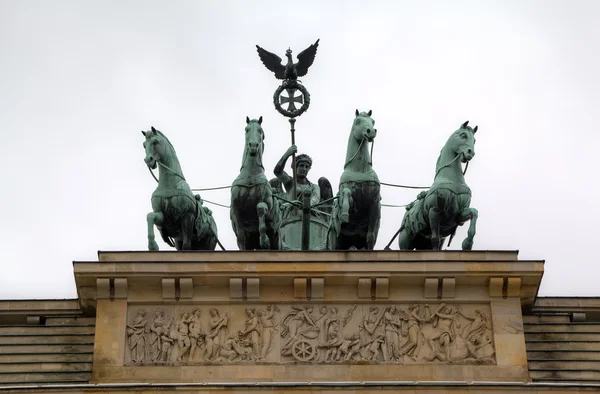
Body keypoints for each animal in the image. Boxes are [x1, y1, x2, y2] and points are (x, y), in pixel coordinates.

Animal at [230, 115, 282, 249]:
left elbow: (261, 208)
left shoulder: (266, 202)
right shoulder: (236, 211)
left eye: (260, 130)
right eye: (246, 129)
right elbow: (241, 236)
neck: (250, 176)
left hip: (276, 237)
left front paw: (264, 240)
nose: (253, 145)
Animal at [328, 108, 380, 249]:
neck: (359, 170)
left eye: (373, 121)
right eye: (358, 121)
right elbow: (346, 194)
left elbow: (370, 237)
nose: (371, 131)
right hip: (336, 238)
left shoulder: (374, 203)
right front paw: (344, 215)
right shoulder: (350, 198)